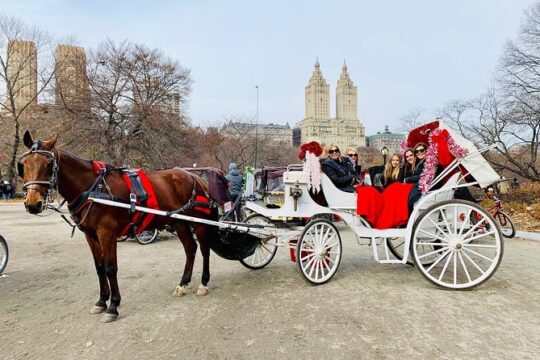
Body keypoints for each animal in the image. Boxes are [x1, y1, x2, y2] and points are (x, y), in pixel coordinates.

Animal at [17, 131, 218, 322]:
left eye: (49, 163)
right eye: (24, 165)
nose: (33, 204)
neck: (92, 189)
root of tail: (194, 176)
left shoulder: (106, 233)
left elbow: (110, 268)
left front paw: (113, 306)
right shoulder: (90, 235)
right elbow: (99, 267)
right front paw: (101, 301)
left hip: (198, 222)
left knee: (204, 249)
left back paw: (203, 283)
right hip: (179, 222)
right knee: (190, 248)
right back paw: (183, 283)